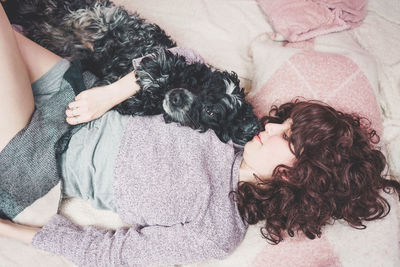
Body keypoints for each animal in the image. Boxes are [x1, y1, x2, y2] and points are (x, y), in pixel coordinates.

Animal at [2, 0, 260, 144]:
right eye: (202, 85)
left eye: (210, 112)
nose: (177, 97)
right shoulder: (151, 47)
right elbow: (162, 62)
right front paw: (161, 73)